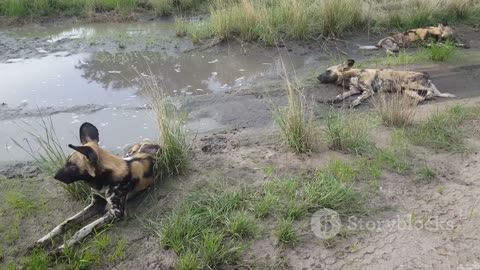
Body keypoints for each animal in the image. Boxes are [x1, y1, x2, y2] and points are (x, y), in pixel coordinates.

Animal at [32, 122, 162, 255]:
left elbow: (83, 229)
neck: (102, 180)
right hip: (131, 152)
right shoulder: (96, 204)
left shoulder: (116, 213)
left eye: (72, 166)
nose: (55, 176)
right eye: (66, 162)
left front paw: (61, 249)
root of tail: (153, 143)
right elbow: (65, 223)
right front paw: (42, 241)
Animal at [316, 59, 456, 107]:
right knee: (421, 97)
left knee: (429, 93)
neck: (350, 75)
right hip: (407, 90)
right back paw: (412, 102)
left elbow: (359, 98)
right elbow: (340, 96)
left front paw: (354, 103)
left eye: (327, 71)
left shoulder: (367, 91)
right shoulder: (353, 90)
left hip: (409, 84)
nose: (317, 77)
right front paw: (332, 100)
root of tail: (427, 77)